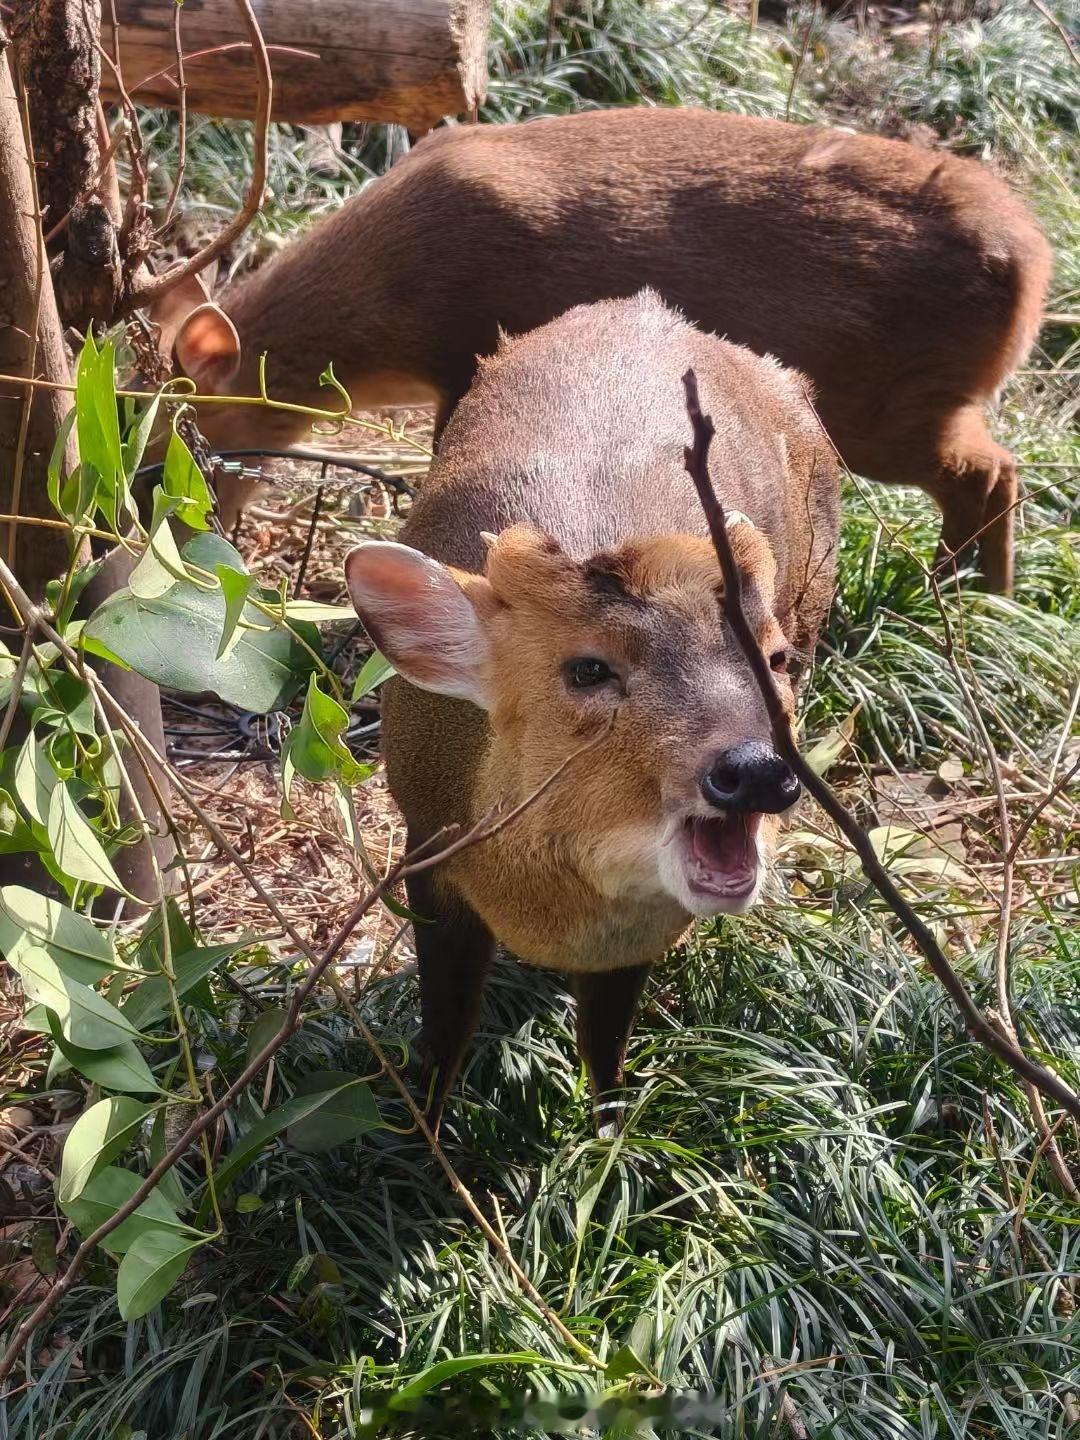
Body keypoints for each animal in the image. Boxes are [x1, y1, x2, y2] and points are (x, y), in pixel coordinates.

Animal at [148, 105, 1054, 590]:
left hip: (891, 403)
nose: (185, 546)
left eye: (171, 454)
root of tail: (1034, 257)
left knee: (991, 472)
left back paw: (963, 588)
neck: (393, 297)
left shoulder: (475, 344)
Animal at [342, 289, 840, 1123]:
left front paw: (609, 1139)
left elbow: (606, 1049)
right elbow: (445, 1030)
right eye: (588, 668)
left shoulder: (641, 932)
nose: (755, 769)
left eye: (774, 661)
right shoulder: (427, 838)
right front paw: (423, 1133)